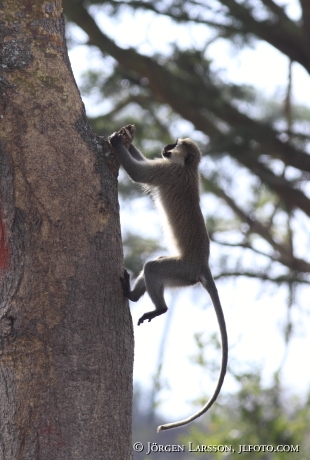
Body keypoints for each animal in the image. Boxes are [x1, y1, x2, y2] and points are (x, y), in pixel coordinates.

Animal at [109, 126, 228, 432]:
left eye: (176, 145)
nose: (166, 146)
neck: (187, 168)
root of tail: (203, 266)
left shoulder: (165, 171)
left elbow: (139, 174)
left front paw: (116, 142)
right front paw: (128, 137)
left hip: (181, 271)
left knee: (153, 268)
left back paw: (157, 307)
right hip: (183, 275)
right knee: (152, 267)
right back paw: (133, 295)